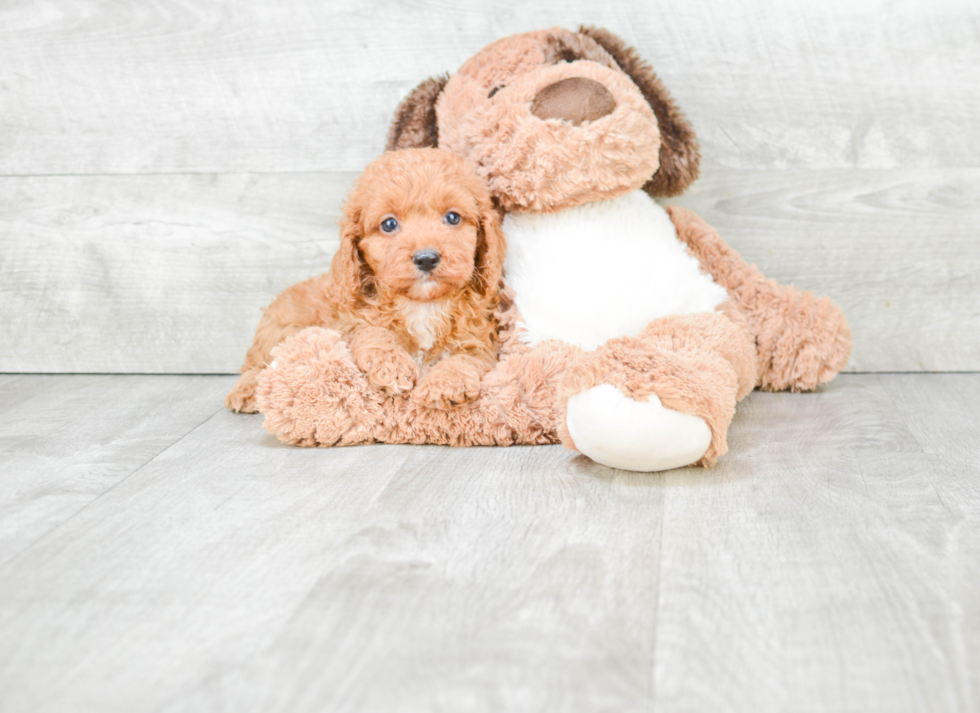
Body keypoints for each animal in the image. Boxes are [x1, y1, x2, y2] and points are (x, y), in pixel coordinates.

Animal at [227, 147, 510, 412]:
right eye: (389, 224)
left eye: (452, 217)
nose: (426, 258)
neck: (422, 304)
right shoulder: (348, 320)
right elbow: (372, 331)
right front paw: (392, 365)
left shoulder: (480, 339)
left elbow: (469, 357)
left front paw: (447, 381)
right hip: (275, 332)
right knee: (258, 365)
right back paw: (246, 390)